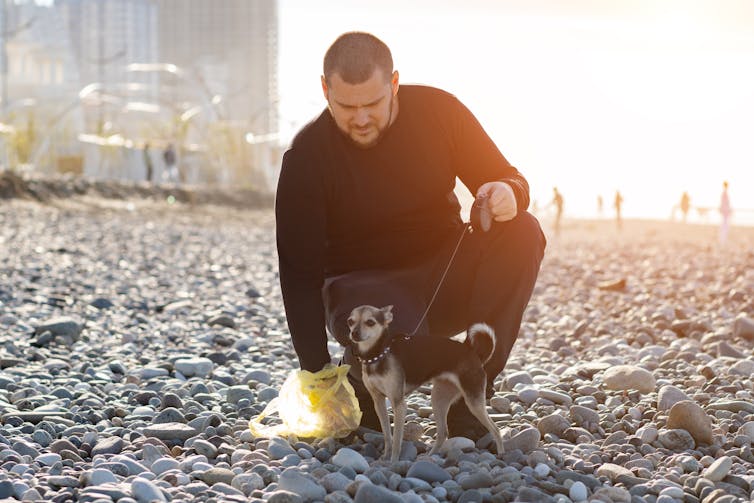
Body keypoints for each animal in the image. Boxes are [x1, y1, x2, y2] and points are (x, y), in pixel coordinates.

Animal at [348, 306, 506, 462]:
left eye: (370, 322)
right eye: (350, 321)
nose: (354, 333)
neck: (377, 354)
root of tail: (474, 354)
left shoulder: (398, 403)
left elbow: (397, 438)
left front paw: (393, 461)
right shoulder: (378, 401)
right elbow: (387, 434)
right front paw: (385, 457)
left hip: (473, 401)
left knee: (495, 428)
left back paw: (501, 453)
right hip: (438, 398)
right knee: (443, 432)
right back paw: (430, 456)